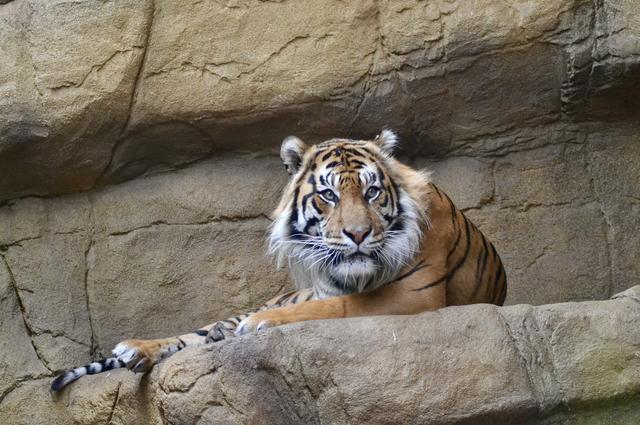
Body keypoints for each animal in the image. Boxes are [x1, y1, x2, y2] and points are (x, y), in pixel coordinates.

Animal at [51, 129, 506, 391]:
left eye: (373, 191)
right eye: (329, 195)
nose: (358, 235)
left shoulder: (415, 297)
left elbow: (336, 307)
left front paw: (262, 325)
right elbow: (328, 303)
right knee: (196, 334)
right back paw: (137, 348)